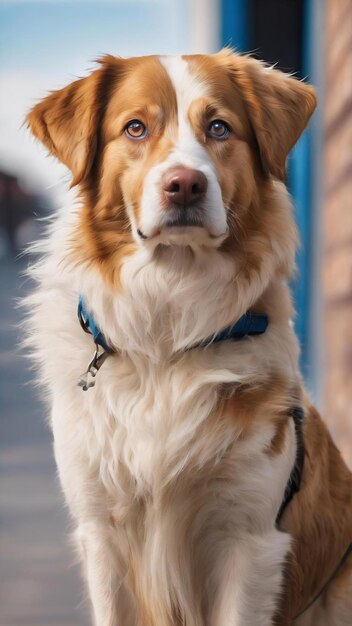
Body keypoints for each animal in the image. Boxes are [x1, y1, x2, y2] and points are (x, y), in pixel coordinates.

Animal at [25, 50, 352, 624]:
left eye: (219, 127)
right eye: (135, 128)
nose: (184, 184)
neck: (167, 327)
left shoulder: (249, 539)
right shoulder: (103, 535)